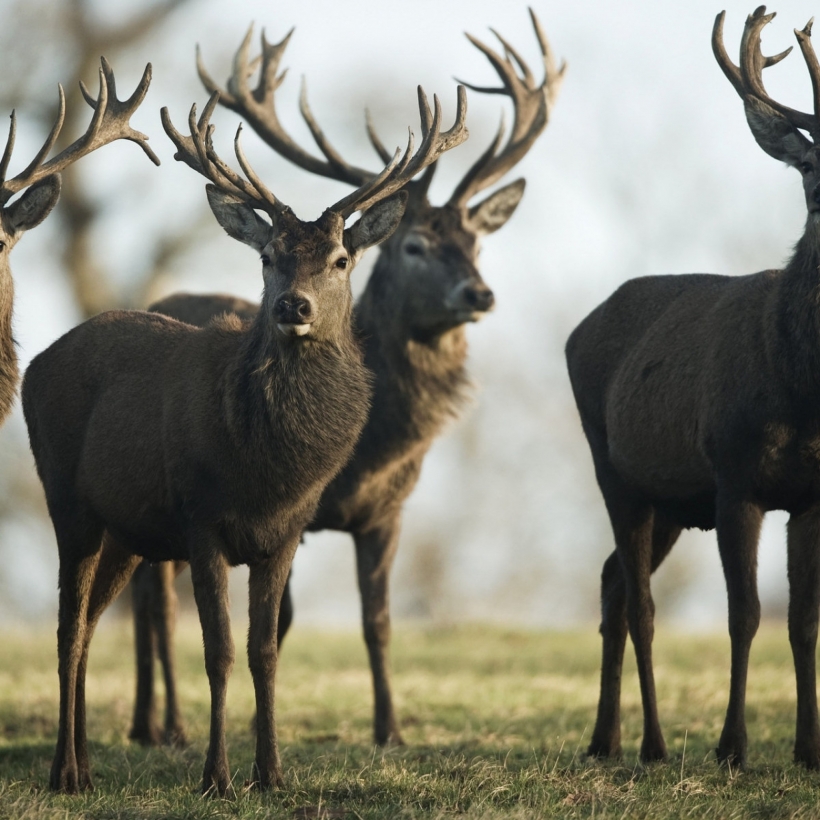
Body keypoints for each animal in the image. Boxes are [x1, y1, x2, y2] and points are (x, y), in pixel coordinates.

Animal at [20, 73, 468, 792]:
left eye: (341, 259)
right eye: (268, 257)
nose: (294, 306)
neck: (267, 470)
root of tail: (36, 363)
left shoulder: (285, 531)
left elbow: (265, 650)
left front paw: (273, 773)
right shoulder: (199, 517)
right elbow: (220, 650)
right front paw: (216, 777)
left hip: (126, 531)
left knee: (88, 626)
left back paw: (85, 762)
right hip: (67, 499)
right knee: (67, 629)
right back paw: (67, 772)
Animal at [126, 8, 564, 748]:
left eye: (476, 242)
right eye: (414, 245)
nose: (479, 293)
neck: (375, 449)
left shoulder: (388, 511)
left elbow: (377, 622)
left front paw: (390, 730)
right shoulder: (287, 513)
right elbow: (279, 623)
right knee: (150, 602)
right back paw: (163, 727)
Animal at [568, 6, 820, 772]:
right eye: (811, 165)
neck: (800, 389)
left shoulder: (811, 494)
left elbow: (804, 620)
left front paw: (808, 750)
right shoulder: (734, 477)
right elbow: (746, 614)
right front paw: (732, 747)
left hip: (671, 500)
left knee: (612, 582)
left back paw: (604, 739)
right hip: (613, 467)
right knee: (641, 602)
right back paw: (650, 744)